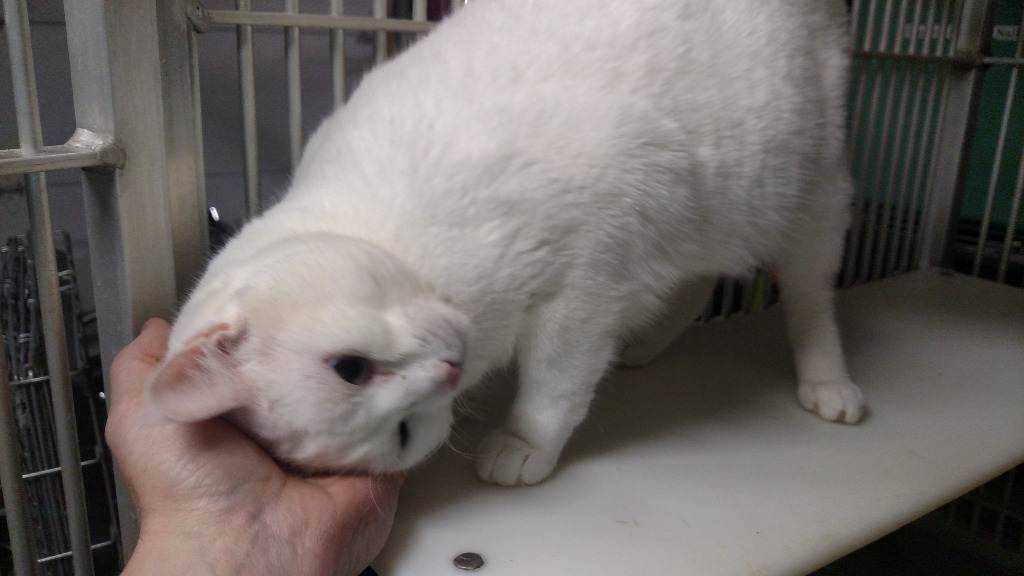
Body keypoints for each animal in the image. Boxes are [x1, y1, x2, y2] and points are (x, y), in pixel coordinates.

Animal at [146, 0, 864, 483]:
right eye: (403, 433)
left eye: (348, 366)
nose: (449, 370)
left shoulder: (585, 290)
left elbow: (553, 387)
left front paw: (523, 444)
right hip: (711, 212)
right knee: (700, 279)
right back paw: (646, 344)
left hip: (810, 195)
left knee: (810, 300)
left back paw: (830, 385)